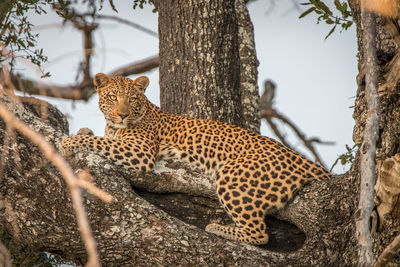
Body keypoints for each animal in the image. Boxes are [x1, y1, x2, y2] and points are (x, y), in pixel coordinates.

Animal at [60, 72, 332, 246]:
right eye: (113, 97)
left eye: (132, 99)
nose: (123, 115)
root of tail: (302, 160)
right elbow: (100, 137)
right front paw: (83, 131)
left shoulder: (140, 151)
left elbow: (101, 142)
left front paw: (68, 143)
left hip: (233, 176)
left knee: (259, 234)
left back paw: (218, 228)